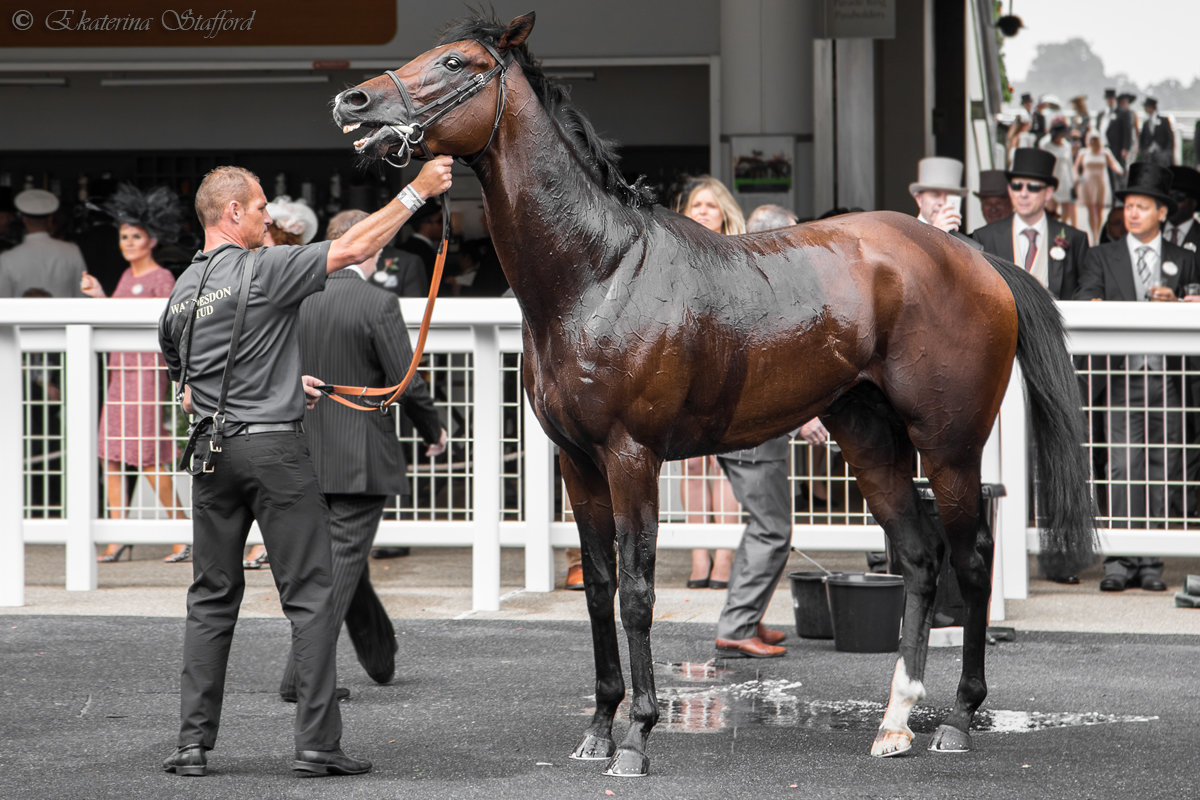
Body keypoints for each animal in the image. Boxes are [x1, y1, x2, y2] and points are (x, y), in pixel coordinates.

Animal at [331, 10, 1099, 777]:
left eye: (456, 63)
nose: (353, 102)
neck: (597, 274)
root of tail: (976, 256)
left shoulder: (631, 457)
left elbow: (638, 593)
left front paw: (636, 738)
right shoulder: (576, 463)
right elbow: (600, 589)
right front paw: (599, 728)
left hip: (949, 445)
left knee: (972, 560)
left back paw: (961, 717)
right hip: (868, 435)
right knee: (918, 556)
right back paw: (894, 722)